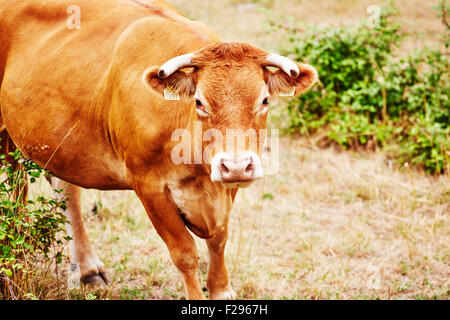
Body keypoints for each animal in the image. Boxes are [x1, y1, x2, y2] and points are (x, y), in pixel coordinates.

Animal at [0, 0, 318, 300]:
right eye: (199, 102)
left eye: (264, 100)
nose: (236, 165)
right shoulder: (148, 185)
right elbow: (185, 254)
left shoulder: (225, 185)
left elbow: (219, 239)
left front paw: (221, 289)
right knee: (18, 190)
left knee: (65, 190)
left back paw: (86, 269)